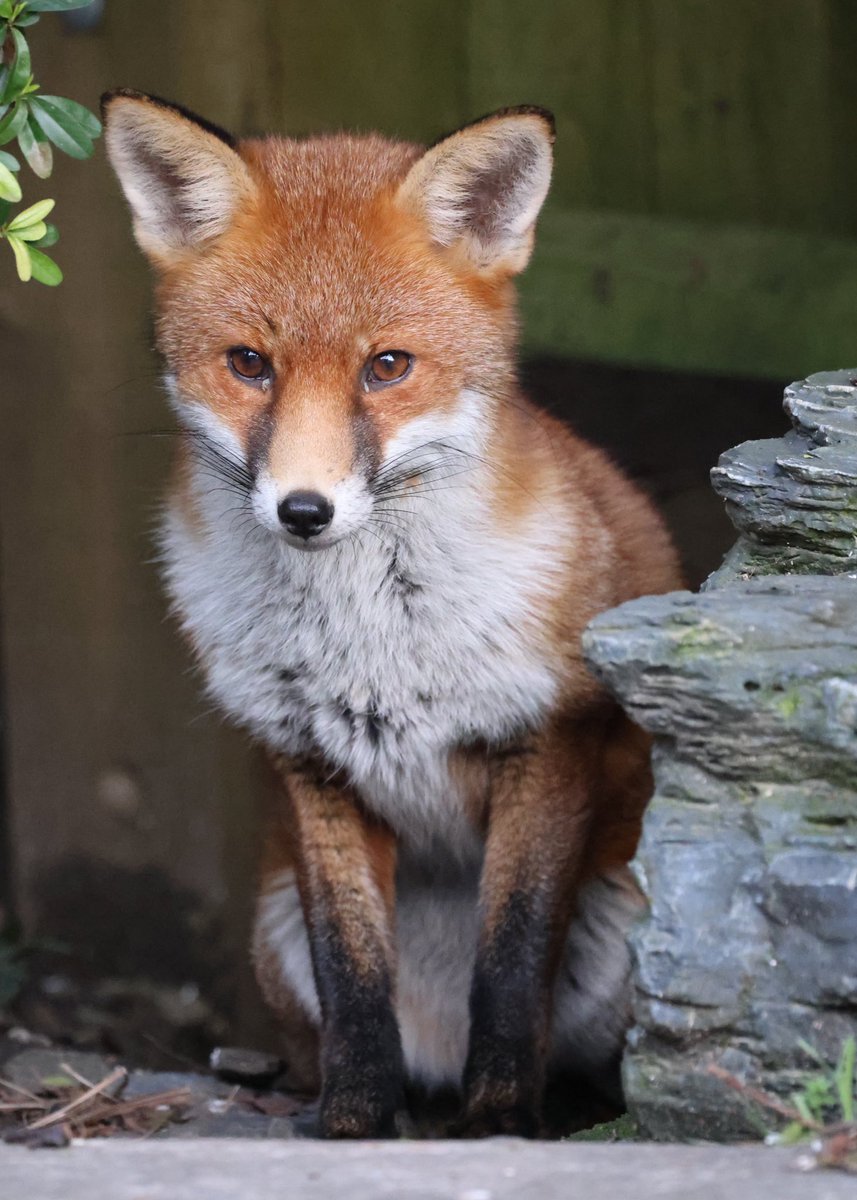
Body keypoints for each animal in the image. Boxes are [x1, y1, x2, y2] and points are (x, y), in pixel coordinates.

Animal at [102, 88, 681, 1137]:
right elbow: (354, 975)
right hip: (274, 927)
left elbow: (510, 967)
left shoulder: (546, 737)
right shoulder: (310, 761)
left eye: (386, 366)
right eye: (248, 364)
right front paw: (353, 1121)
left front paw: (500, 1120)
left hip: (621, 913)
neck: (369, 641)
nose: (303, 510)